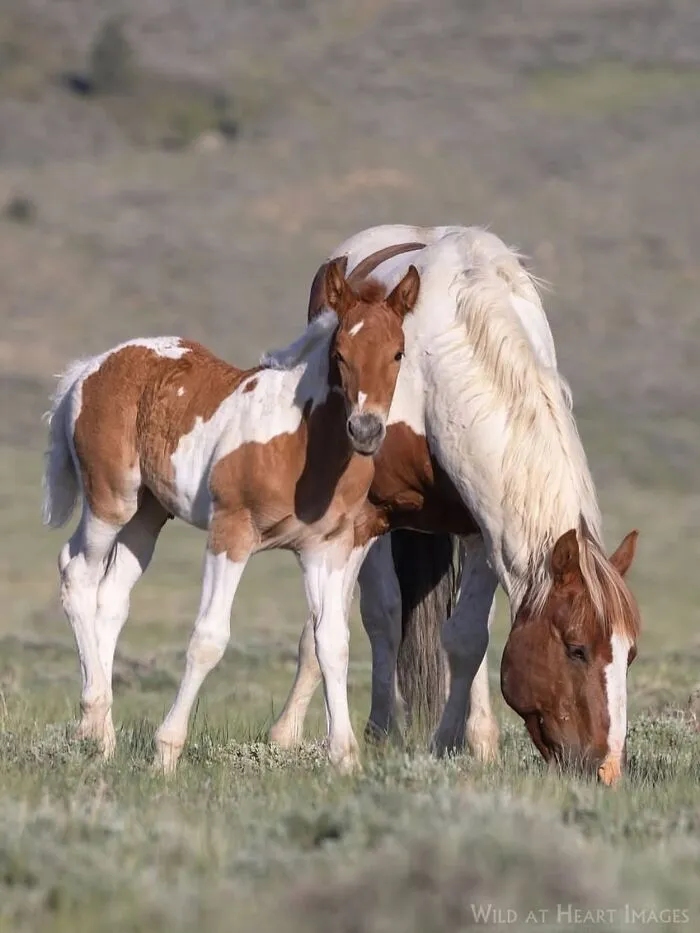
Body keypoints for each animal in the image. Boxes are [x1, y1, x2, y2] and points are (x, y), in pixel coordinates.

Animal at [41, 259, 421, 773]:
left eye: (398, 353)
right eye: (340, 353)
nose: (365, 430)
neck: (300, 442)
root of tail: (90, 367)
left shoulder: (327, 550)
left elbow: (332, 643)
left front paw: (344, 758)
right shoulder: (231, 533)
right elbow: (208, 638)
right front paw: (166, 753)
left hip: (148, 514)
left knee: (112, 598)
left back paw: (101, 735)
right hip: (111, 500)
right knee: (77, 573)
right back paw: (95, 721)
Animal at [270, 225, 641, 786]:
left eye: (630, 654)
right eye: (576, 648)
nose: (606, 768)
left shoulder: (484, 527)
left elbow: (468, 637)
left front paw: (459, 742)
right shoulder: (366, 516)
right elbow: (377, 617)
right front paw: (380, 733)